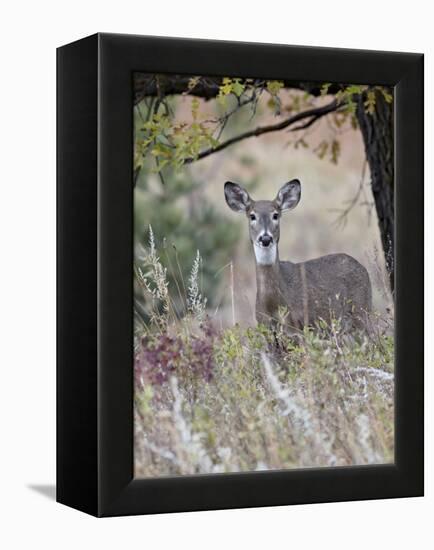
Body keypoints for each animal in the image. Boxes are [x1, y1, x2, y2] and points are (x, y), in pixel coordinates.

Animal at [225, 180, 372, 332]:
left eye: (275, 215)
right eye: (252, 216)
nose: (265, 238)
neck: (273, 304)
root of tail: (363, 268)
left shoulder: (297, 326)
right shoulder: (264, 325)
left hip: (362, 311)